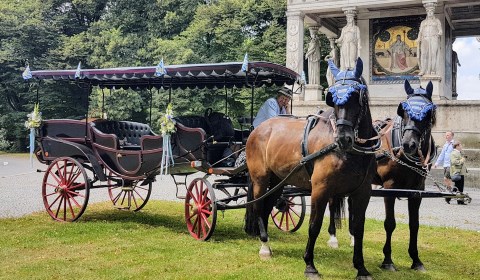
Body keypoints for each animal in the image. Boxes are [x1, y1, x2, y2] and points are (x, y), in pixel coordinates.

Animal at [246, 58, 380, 278]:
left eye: (355, 96)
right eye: (333, 99)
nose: (343, 138)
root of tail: (259, 129)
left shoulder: (362, 192)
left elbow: (358, 228)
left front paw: (361, 267)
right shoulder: (321, 190)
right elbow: (314, 225)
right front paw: (309, 264)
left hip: (278, 182)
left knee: (267, 206)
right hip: (260, 178)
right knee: (258, 206)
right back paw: (264, 246)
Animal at [326, 79, 436, 272]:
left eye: (428, 113)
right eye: (403, 111)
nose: (408, 144)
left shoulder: (418, 190)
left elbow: (414, 224)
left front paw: (416, 259)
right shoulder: (389, 187)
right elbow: (389, 223)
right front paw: (388, 260)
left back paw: (353, 237)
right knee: (332, 204)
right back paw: (333, 237)